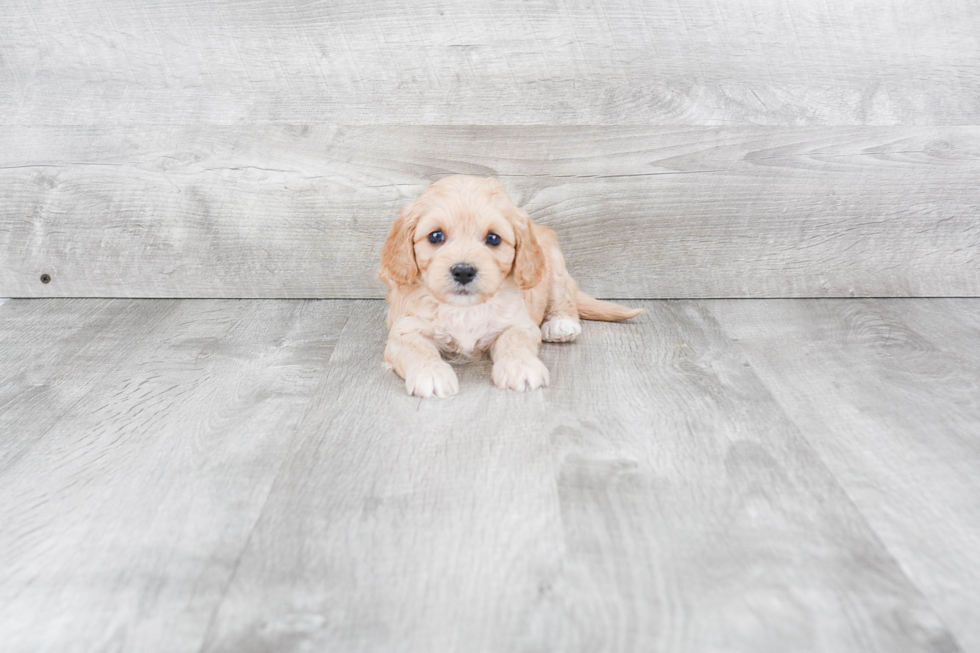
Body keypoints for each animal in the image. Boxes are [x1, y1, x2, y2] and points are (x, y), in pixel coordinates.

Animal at [378, 174, 648, 398]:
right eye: (435, 236)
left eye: (493, 238)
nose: (463, 271)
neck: (465, 309)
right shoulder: (404, 330)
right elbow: (417, 348)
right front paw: (431, 373)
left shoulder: (519, 323)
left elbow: (514, 341)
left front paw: (522, 368)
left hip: (555, 265)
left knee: (565, 296)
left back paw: (561, 324)